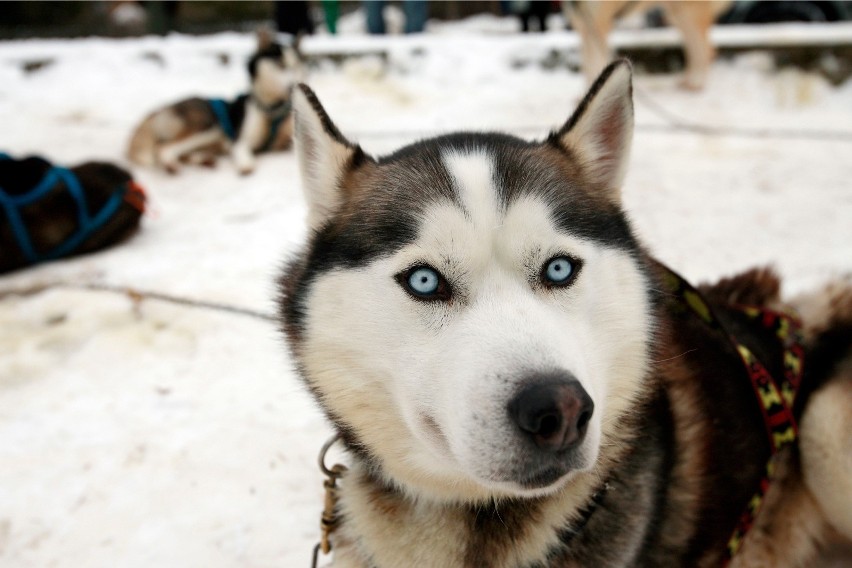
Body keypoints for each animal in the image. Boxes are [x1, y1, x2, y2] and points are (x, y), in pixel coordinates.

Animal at [125, 28, 302, 174]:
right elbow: (243, 156)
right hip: (209, 127)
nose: (292, 87)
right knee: (163, 149)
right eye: (280, 64)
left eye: (295, 66)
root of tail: (157, 110)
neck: (272, 108)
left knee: (178, 152)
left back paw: (203, 160)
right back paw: (172, 165)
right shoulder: (240, 141)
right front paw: (245, 165)